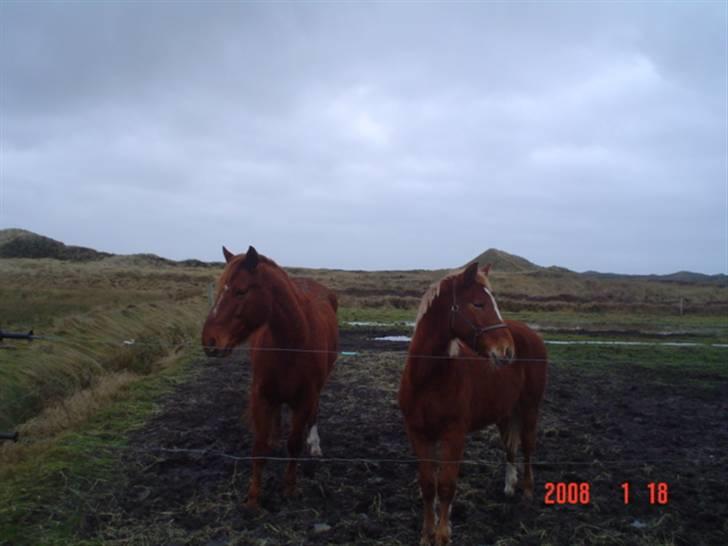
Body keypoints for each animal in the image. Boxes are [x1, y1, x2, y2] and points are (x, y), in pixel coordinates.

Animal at [202, 244, 338, 508]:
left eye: (241, 291)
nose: (209, 341)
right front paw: (253, 498)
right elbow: (259, 447)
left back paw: (314, 443)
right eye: (220, 287)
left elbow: (294, 444)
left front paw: (290, 488)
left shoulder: (305, 398)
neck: (293, 343)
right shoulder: (261, 395)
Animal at [398, 262, 544, 540]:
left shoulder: (454, 435)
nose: (507, 351)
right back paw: (509, 487)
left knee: (528, 447)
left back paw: (528, 492)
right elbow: (428, 485)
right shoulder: (418, 435)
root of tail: (530, 332)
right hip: (504, 413)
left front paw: (443, 535)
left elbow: (446, 486)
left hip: (530, 408)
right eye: (478, 304)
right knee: (510, 446)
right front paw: (426, 534)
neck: (427, 379)